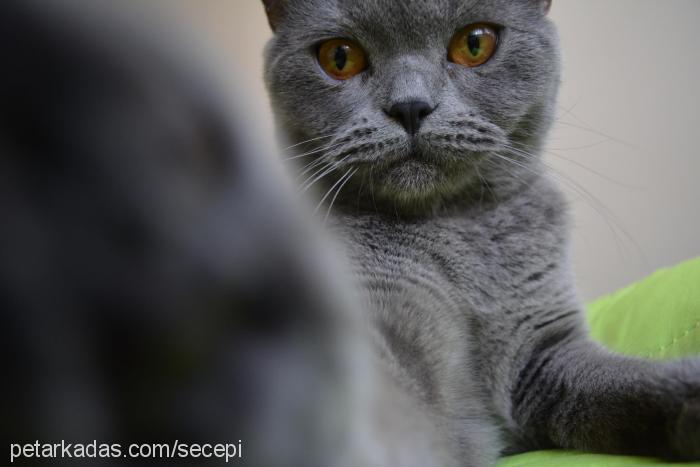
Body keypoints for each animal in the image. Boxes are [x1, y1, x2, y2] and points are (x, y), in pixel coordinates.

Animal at [262, 0, 700, 466]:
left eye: (475, 44)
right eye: (340, 57)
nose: (410, 106)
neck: (450, 230)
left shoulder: (543, 350)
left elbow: (618, 382)